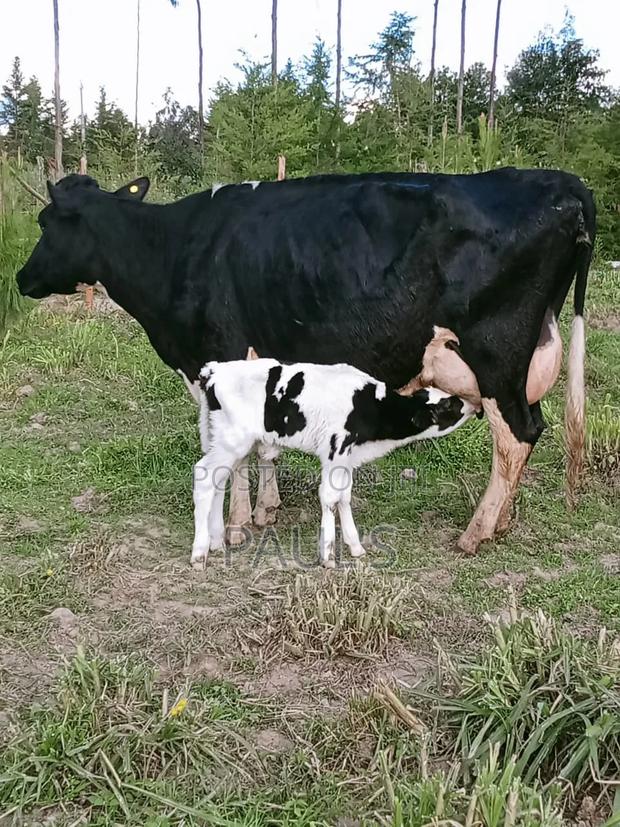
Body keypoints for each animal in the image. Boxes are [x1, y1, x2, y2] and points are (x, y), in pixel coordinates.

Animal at [192, 357, 476, 568]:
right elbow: (329, 496)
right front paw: (327, 555)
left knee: (217, 481)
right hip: (232, 441)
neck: (370, 406)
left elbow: (344, 496)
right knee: (203, 477)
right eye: (448, 405)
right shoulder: (334, 448)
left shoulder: (346, 456)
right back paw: (199, 552)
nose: (473, 403)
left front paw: (356, 546)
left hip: (224, 441)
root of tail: (213, 370)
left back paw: (216, 542)